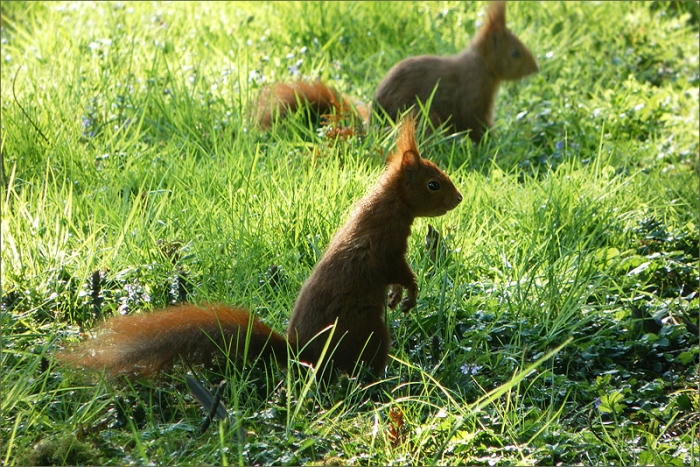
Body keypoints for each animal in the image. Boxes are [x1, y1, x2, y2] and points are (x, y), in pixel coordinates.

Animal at [57, 116, 463, 380]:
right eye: (433, 184)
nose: (459, 198)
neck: (387, 208)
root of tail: (301, 355)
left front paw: (397, 297)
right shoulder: (385, 248)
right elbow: (400, 272)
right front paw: (409, 294)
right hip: (370, 332)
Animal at [373, 1, 538, 142]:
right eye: (515, 53)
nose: (536, 68)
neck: (481, 66)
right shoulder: (473, 97)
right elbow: (474, 123)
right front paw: (493, 143)